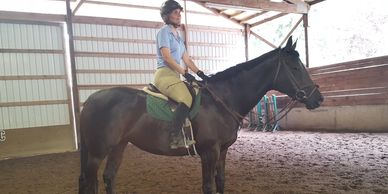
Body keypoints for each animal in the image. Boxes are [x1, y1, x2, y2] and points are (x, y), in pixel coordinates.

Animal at [79, 36, 324, 194]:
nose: (318, 98)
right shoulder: (209, 152)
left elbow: (220, 182)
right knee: (90, 182)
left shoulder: (222, 151)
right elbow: (208, 186)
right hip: (97, 152)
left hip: (119, 146)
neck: (222, 100)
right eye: (295, 68)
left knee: (108, 177)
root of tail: (91, 99)